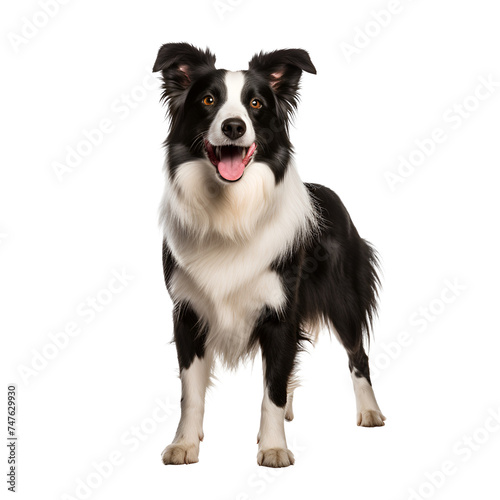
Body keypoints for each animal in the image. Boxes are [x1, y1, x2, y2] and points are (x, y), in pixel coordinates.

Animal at [154, 43, 384, 468]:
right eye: (208, 100)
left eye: (256, 104)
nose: (233, 127)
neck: (231, 210)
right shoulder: (187, 312)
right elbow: (191, 391)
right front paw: (185, 443)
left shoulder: (281, 313)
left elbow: (272, 388)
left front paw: (274, 447)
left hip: (344, 300)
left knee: (357, 356)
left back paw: (370, 412)